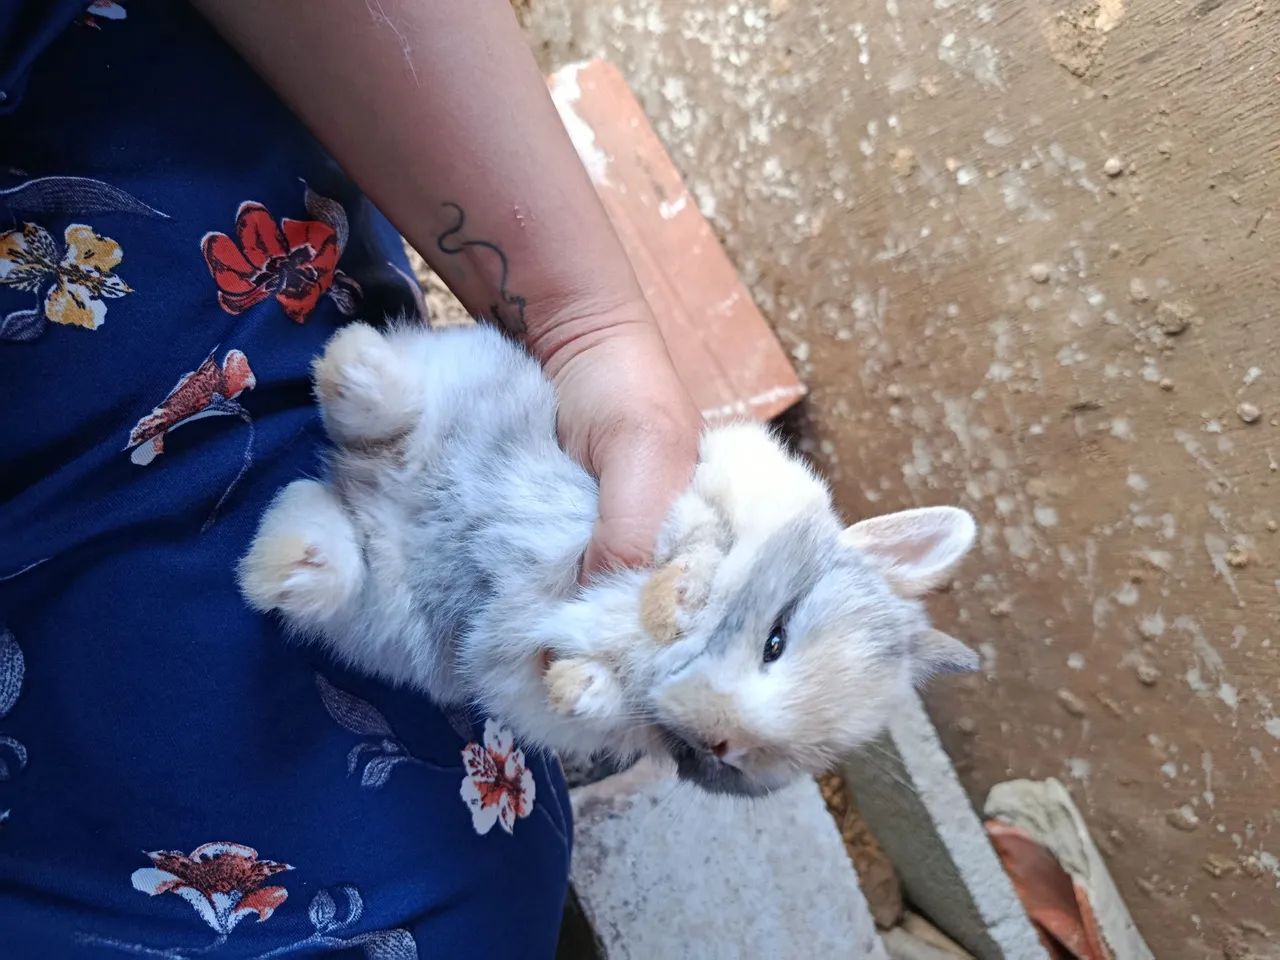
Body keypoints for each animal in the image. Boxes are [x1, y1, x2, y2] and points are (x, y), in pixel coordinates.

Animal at [238, 320, 979, 796]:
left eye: (773, 757)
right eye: (777, 638)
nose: (722, 741)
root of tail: (367, 491)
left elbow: (577, 699)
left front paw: (578, 684)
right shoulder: (700, 490)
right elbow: (694, 539)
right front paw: (671, 602)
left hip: (388, 611)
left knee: (329, 541)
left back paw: (284, 564)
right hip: (475, 382)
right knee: (384, 414)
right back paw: (353, 366)